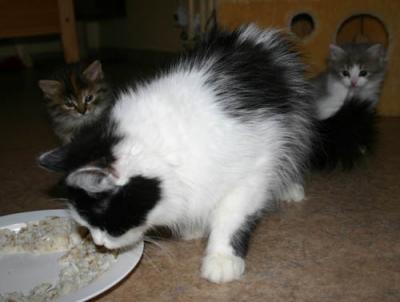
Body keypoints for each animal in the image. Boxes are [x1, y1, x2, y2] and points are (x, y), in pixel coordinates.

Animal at [38, 24, 316, 284]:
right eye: (86, 227)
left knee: (292, 154)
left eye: (107, 222)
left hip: (295, 122)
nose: (99, 243)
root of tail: (250, 38)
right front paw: (195, 226)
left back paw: (290, 188)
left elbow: (231, 216)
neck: (160, 148)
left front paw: (222, 258)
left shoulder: (253, 171)